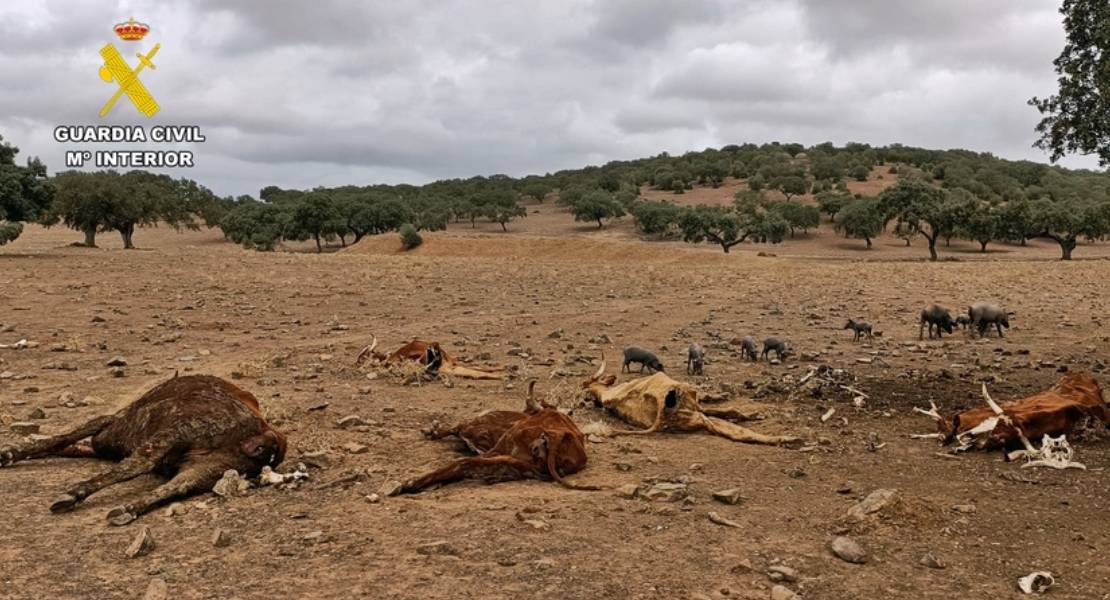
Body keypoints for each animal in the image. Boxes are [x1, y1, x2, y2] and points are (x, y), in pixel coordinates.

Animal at [1, 374, 286, 523]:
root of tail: (268, 437)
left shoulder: (113, 422)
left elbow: (64, 438)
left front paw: (8, 454)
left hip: (172, 436)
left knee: (138, 465)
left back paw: (73, 496)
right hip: (207, 469)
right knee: (176, 486)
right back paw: (127, 509)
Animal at [357, 334, 506, 381]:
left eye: (365, 356)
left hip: (447, 365)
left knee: (474, 370)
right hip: (449, 366)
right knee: (475, 370)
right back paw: (504, 372)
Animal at [581, 354, 799, 443]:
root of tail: (660, 411)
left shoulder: (696, 406)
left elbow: (727, 410)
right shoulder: (697, 406)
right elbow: (728, 412)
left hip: (690, 416)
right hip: (695, 416)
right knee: (731, 430)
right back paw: (788, 438)